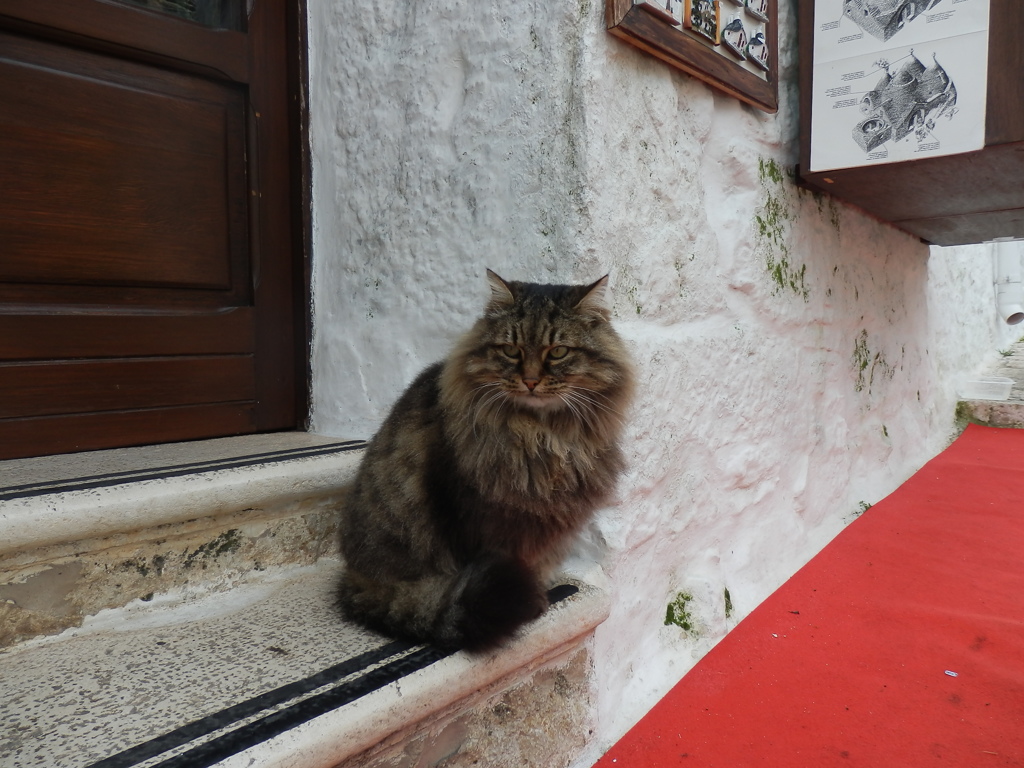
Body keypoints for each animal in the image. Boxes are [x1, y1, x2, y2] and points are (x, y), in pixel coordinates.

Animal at [337, 268, 630, 651]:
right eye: (511, 350)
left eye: (558, 352)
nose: (530, 381)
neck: (541, 435)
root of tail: (354, 577)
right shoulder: (482, 519)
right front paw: (534, 602)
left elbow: (538, 564)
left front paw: (540, 593)